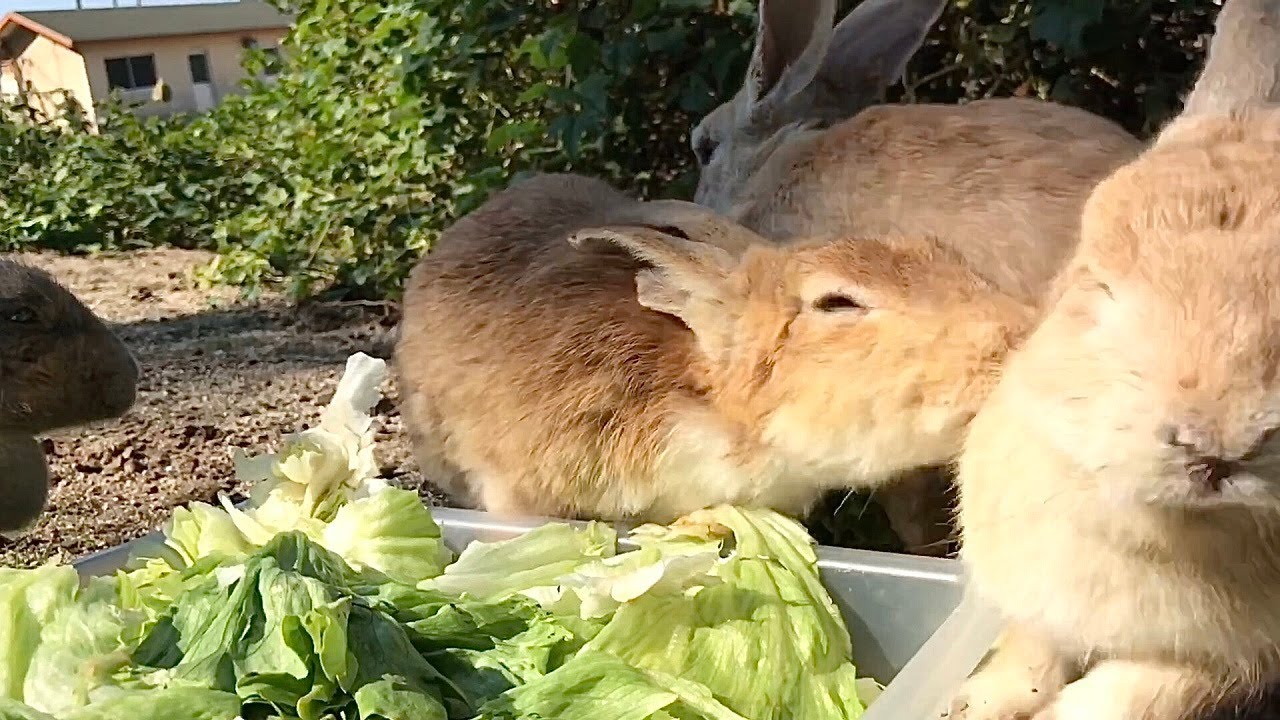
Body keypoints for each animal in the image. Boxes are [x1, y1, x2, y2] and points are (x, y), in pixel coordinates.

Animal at [949, 0, 1280, 718]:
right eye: (1097, 284)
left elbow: (1131, 695)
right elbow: (1031, 653)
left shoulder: (1219, 668)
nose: (1218, 446)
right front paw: (976, 701)